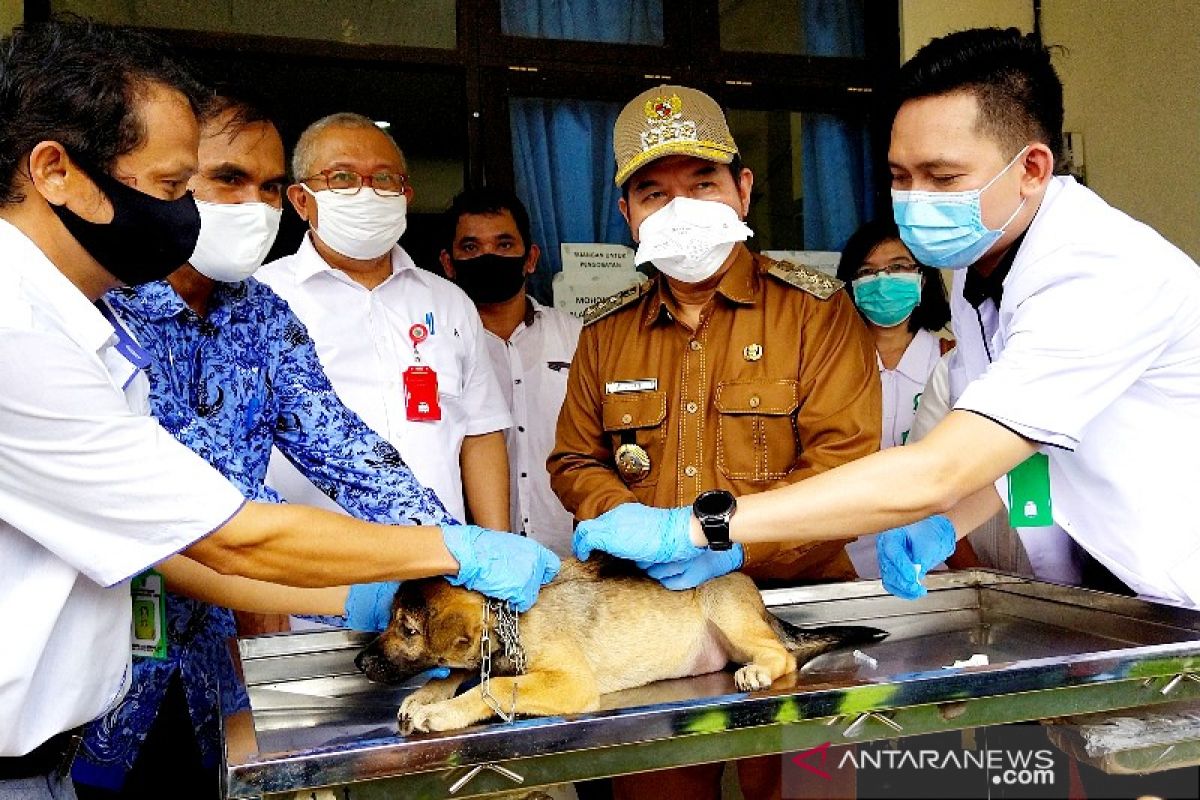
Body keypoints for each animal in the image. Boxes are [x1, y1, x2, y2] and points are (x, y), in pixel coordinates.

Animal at [355, 561, 883, 734]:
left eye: (407, 629)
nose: (359, 661)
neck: (511, 620)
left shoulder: (572, 684)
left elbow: (498, 687)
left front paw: (441, 712)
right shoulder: (483, 660)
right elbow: (455, 675)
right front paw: (424, 696)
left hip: (726, 609)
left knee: (781, 653)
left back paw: (757, 670)